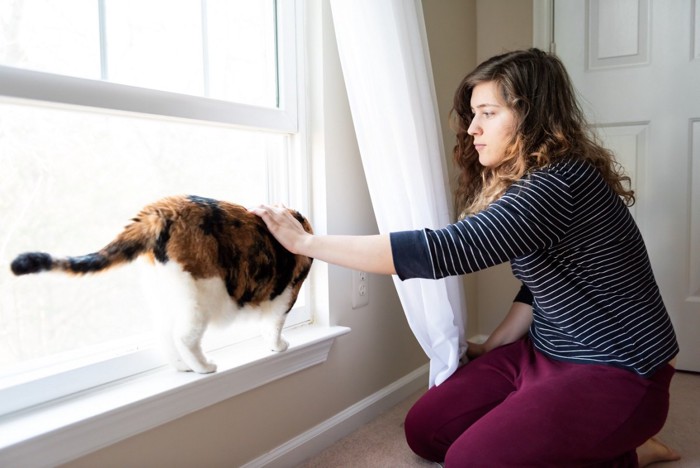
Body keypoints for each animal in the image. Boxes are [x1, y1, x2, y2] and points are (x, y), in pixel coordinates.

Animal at [8, 194, 312, 372]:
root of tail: (159, 209)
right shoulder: (287, 293)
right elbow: (273, 326)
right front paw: (278, 346)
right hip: (203, 294)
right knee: (184, 336)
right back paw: (203, 366)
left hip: (167, 294)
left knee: (166, 336)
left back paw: (182, 367)